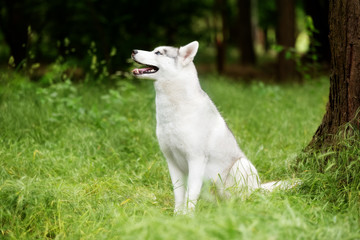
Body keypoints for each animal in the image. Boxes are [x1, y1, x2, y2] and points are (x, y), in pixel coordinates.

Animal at [132, 41, 286, 214]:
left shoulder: (196, 160)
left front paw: (187, 217)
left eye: (158, 53)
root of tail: (260, 188)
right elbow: (179, 195)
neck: (173, 111)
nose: (133, 51)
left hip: (242, 165)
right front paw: (177, 216)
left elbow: (190, 195)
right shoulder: (171, 161)